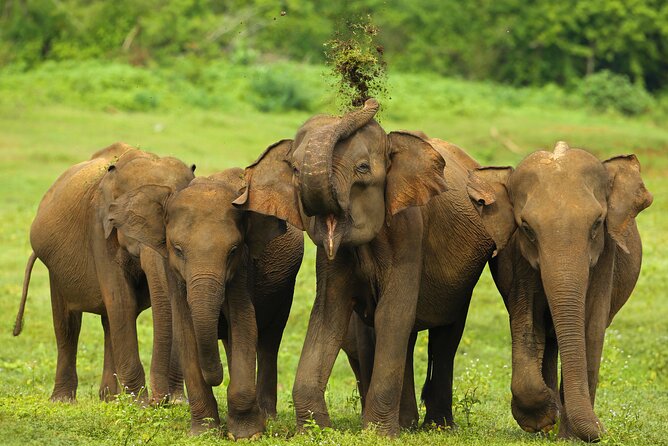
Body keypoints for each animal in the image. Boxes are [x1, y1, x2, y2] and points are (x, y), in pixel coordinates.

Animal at [13, 143, 194, 403]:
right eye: (130, 222)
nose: (161, 401)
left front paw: (175, 403)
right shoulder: (98, 227)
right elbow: (121, 301)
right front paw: (140, 404)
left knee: (109, 322)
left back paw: (109, 398)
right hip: (55, 269)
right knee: (68, 324)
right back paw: (65, 400)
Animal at [106, 168, 304, 439]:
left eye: (233, 250)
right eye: (178, 250)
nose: (217, 377)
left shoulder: (243, 269)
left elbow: (244, 323)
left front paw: (246, 435)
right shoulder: (173, 273)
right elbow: (186, 331)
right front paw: (204, 433)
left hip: (285, 289)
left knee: (269, 341)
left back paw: (267, 418)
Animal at [234, 98, 500, 435]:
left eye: (362, 168)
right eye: (294, 169)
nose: (367, 100)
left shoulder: (409, 232)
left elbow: (392, 313)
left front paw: (377, 432)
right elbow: (329, 313)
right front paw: (315, 431)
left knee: (445, 337)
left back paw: (436, 427)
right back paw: (408, 424)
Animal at [469, 141, 653, 441]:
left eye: (597, 223)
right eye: (527, 228)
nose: (604, 428)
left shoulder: (605, 258)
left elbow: (591, 329)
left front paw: (571, 437)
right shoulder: (519, 259)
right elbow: (527, 323)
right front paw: (543, 417)